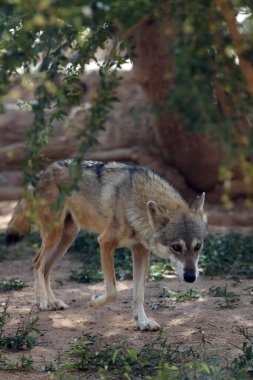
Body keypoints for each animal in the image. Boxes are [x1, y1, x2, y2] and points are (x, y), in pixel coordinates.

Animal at [6, 160, 208, 330]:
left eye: (197, 247)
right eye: (176, 247)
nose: (191, 277)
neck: (134, 200)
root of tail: (43, 172)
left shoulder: (141, 251)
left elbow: (138, 294)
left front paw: (142, 322)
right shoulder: (105, 242)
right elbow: (113, 292)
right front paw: (94, 302)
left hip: (67, 238)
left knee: (46, 268)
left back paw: (53, 302)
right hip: (54, 235)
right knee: (37, 263)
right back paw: (42, 302)